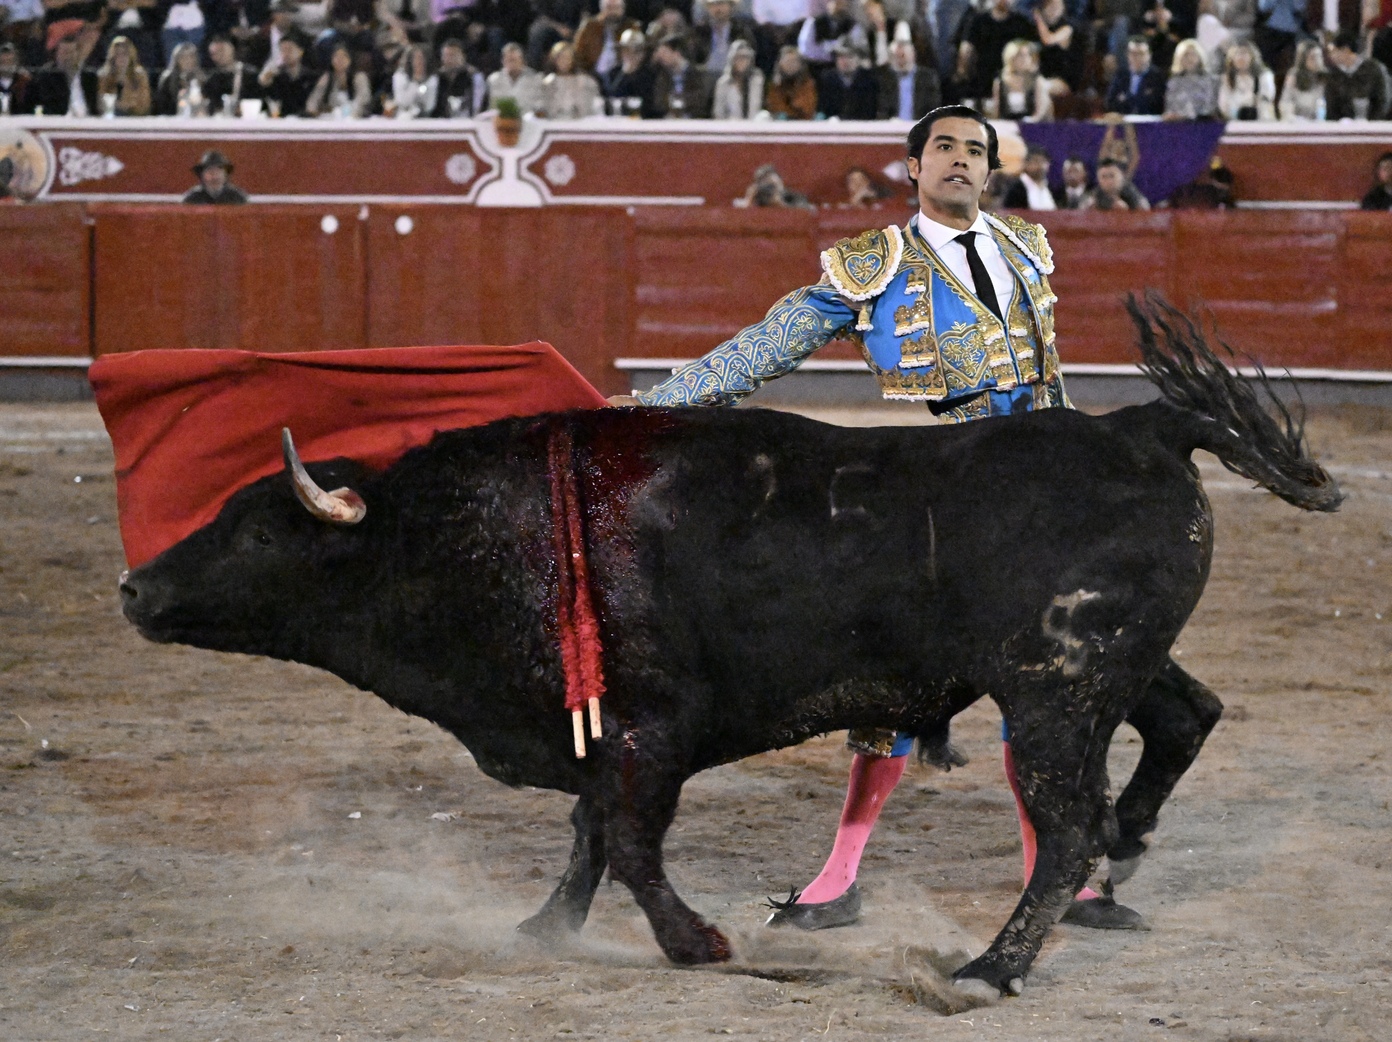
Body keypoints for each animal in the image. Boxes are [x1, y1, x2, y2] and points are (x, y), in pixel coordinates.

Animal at [116, 297, 1342, 1000]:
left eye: (256, 529)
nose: (134, 587)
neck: (484, 531)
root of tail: (1140, 425)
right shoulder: (603, 732)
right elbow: (589, 838)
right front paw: (542, 928)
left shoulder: (647, 730)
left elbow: (628, 842)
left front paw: (695, 943)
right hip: (1109, 672)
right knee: (1184, 720)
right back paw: (1123, 854)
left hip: (1054, 689)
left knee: (1066, 815)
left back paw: (993, 967)